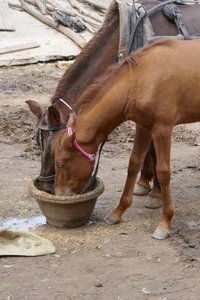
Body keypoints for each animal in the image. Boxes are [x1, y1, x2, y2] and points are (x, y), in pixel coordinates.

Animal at [26, 0, 200, 197]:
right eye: (37, 141)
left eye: (54, 144)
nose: (44, 186)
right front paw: (144, 181)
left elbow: (153, 149)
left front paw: (155, 189)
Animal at [52, 40, 200, 241]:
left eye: (60, 164)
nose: (59, 195)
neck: (141, 79)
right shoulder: (143, 127)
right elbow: (134, 164)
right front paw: (118, 212)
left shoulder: (162, 129)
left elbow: (163, 172)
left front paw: (165, 223)